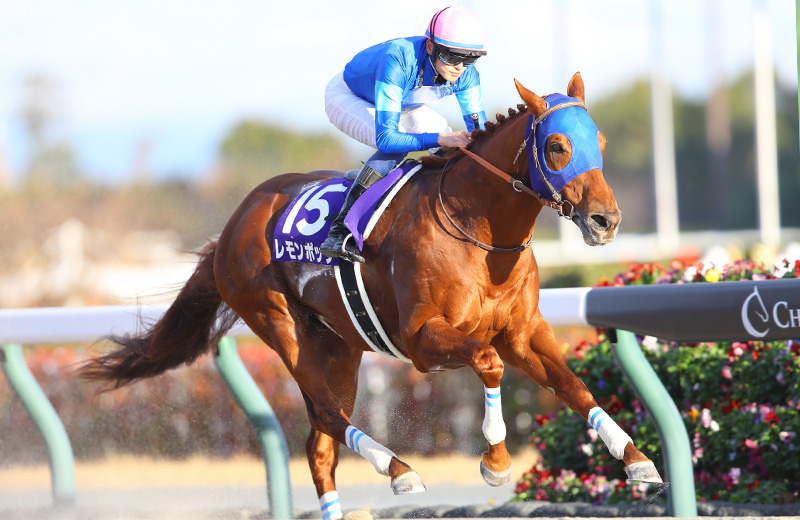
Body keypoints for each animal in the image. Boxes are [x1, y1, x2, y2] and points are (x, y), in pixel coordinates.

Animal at [81, 72, 662, 518]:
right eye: (558, 147)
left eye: (600, 142)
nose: (606, 220)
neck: (480, 231)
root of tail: (232, 226)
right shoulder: (424, 341)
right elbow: (489, 362)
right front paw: (495, 464)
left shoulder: (524, 331)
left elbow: (573, 385)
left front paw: (636, 458)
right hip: (277, 320)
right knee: (325, 414)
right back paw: (399, 469)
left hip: (340, 345)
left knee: (319, 443)